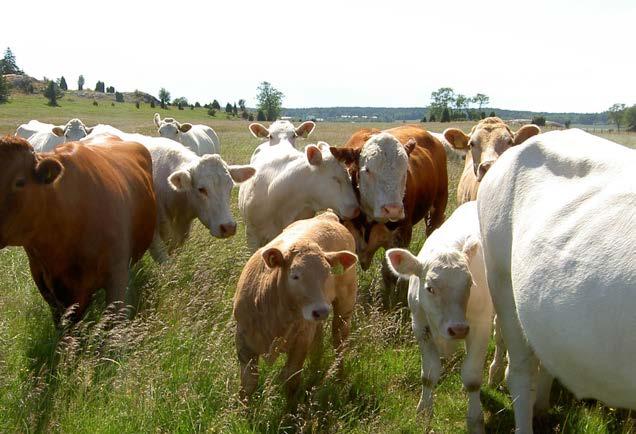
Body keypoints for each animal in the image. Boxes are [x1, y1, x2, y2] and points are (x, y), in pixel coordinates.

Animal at [236, 211, 360, 400]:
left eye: (328, 274)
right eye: (295, 275)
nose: (321, 311)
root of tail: (327, 216)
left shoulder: (300, 342)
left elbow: (291, 380)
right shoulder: (243, 341)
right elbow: (248, 384)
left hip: (345, 304)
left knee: (339, 340)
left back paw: (339, 377)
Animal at [386, 202, 500, 432]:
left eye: (470, 284)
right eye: (429, 288)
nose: (458, 329)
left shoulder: (480, 325)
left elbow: (472, 377)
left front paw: (475, 420)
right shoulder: (419, 325)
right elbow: (429, 373)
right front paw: (424, 412)